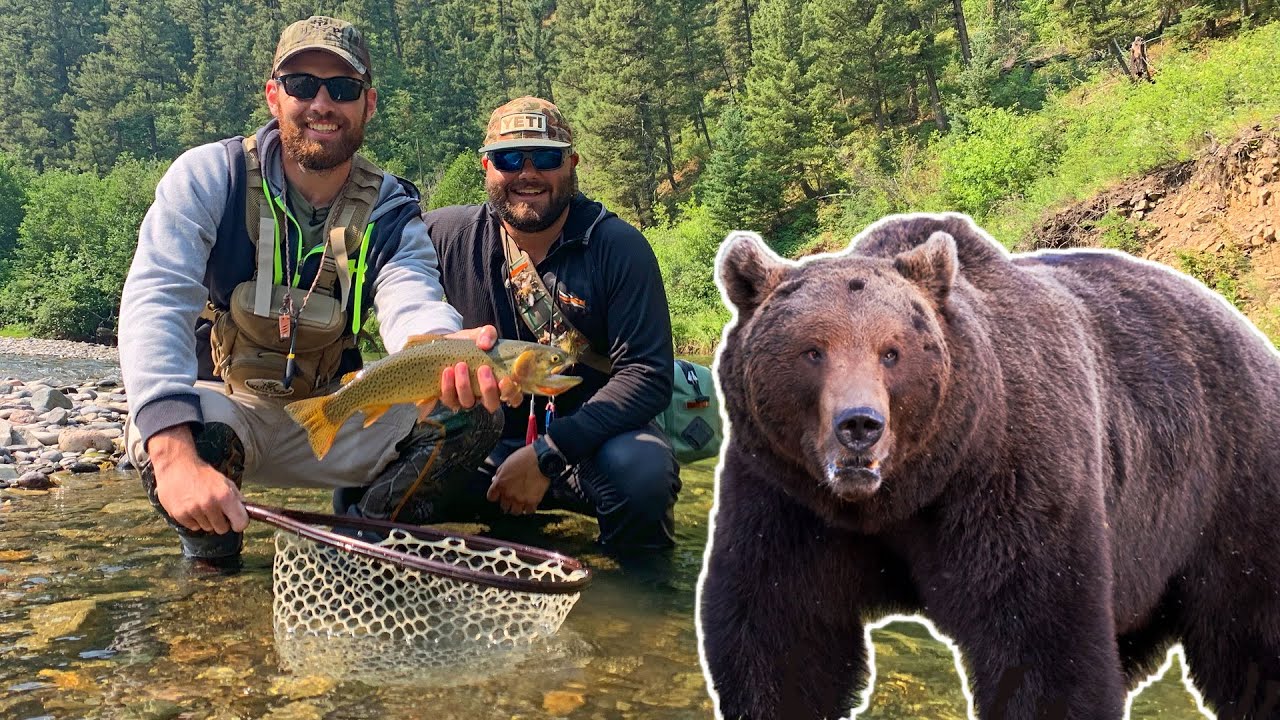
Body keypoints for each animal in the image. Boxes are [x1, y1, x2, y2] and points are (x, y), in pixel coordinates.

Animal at [696, 212, 1280, 720]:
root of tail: (1251, 334)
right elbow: (781, 630)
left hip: (1227, 484)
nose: (860, 424)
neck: (904, 492)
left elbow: (1041, 638)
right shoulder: (786, 493)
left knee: (1250, 635)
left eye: (892, 351)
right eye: (813, 350)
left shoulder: (1010, 476)